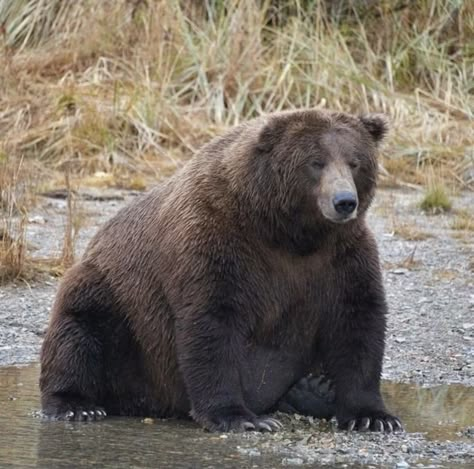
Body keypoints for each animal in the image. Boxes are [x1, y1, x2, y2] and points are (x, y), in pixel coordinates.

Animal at [41, 109, 404, 432]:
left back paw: (313, 389)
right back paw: (77, 405)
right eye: (316, 162)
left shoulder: (340, 257)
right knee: (79, 332)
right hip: (117, 308)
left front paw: (373, 416)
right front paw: (240, 417)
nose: (344, 201)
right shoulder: (217, 242)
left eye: (355, 162)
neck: (287, 233)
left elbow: (357, 320)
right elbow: (213, 321)